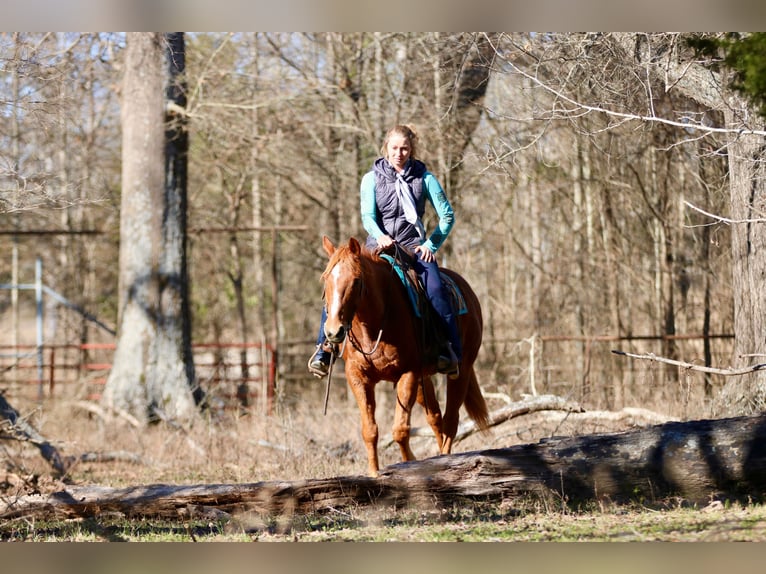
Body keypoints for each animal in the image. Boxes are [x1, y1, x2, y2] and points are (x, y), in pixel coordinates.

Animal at [320, 235, 490, 477]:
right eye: (325, 279)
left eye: (356, 281)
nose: (334, 331)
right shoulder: (358, 377)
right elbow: (369, 430)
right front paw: (374, 473)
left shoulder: (408, 373)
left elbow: (400, 429)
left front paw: (410, 465)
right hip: (423, 379)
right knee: (435, 418)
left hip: (462, 370)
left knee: (450, 420)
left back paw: (447, 461)